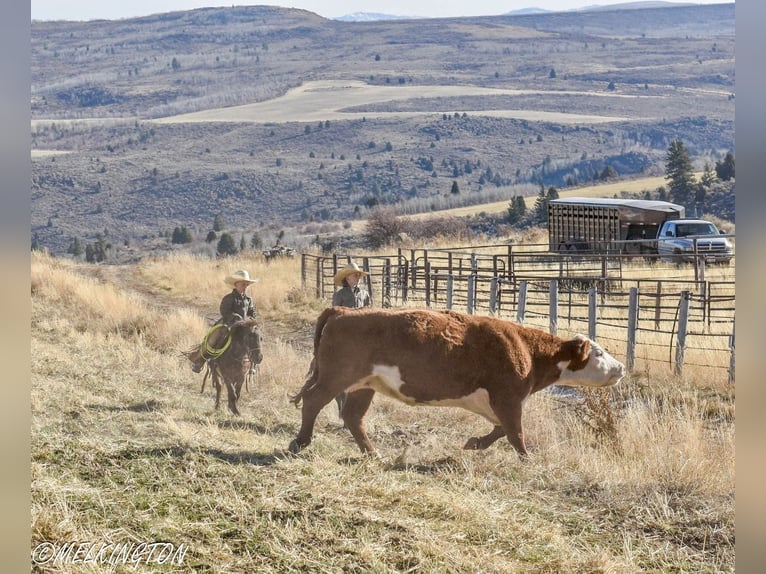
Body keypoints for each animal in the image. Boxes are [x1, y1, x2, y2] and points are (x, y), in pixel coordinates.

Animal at [292, 308, 628, 462]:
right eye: (599, 353)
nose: (621, 367)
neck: (526, 348)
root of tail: (343, 311)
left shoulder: (497, 402)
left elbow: (500, 429)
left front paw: (474, 443)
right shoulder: (508, 397)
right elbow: (515, 432)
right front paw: (527, 460)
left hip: (364, 384)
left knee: (353, 417)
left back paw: (373, 453)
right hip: (336, 376)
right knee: (313, 400)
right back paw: (300, 442)